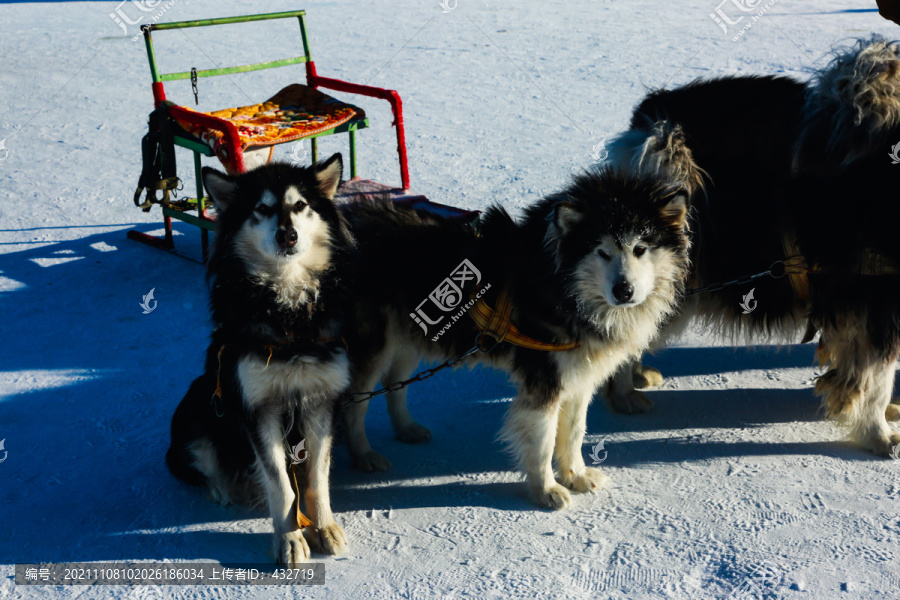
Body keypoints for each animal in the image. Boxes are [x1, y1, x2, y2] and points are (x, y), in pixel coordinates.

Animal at [167, 154, 354, 564]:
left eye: (300, 205)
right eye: (263, 209)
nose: (288, 236)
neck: (289, 318)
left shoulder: (321, 401)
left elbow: (315, 477)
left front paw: (323, 526)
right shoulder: (257, 407)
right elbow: (280, 483)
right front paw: (289, 539)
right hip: (196, 407)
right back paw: (221, 487)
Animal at [338, 166, 688, 508]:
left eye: (640, 249)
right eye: (601, 252)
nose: (623, 290)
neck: (565, 289)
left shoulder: (578, 375)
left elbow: (574, 432)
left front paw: (575, 475)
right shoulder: (544, 380)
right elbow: (544, 441)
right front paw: (546, 490)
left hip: (411, 336)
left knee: (393, 382)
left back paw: (406, 428)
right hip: (372, 346)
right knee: (354, 404)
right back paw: (363, 454)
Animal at [604, 37, 900, 454]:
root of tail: (651, 122)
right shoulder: (873, 297)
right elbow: (878, 373)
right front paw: (879, 435)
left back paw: (638, 376)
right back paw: (626, 396)